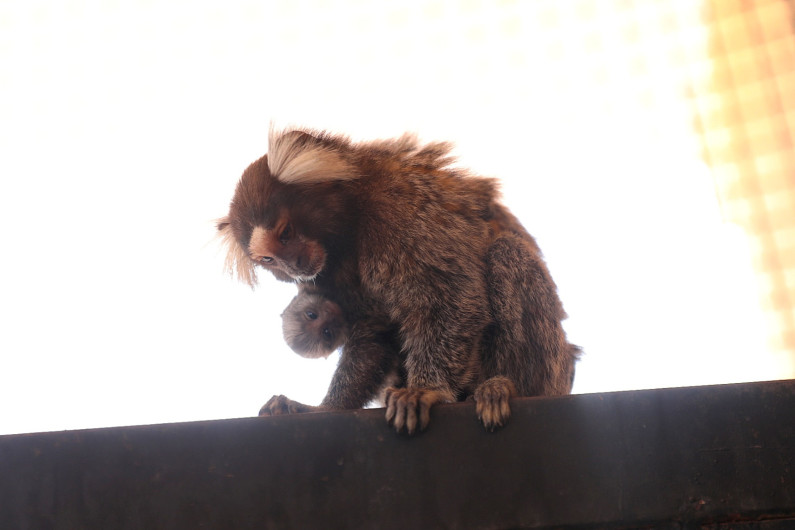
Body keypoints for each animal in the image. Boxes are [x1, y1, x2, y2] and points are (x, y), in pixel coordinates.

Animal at [218, 128, 579, 434]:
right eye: (268, 259)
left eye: (286, 233)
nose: (293, 266)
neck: (348, 230)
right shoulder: (327, 280)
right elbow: (371, 337)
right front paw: (324, 407)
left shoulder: (399, 207)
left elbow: (451, 295)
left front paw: (426, 390)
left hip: (553, 370)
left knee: (505, 253)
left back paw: (502, 387)